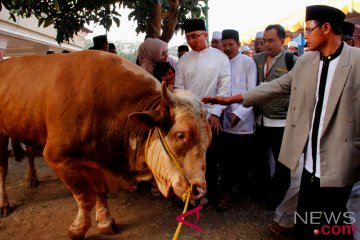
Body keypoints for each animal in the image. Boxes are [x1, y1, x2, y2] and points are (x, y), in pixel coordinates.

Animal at [0, 50, 211, 238]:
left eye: (209, 140)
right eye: (181, 135)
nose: (199, 190)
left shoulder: (99, 161)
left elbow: (100, 191)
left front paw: (105, 221)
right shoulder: (58, 157)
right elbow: (86, 196)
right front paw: (78, 229)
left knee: (28, 151)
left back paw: (31, 178)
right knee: (2, 169)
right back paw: (4, 204)